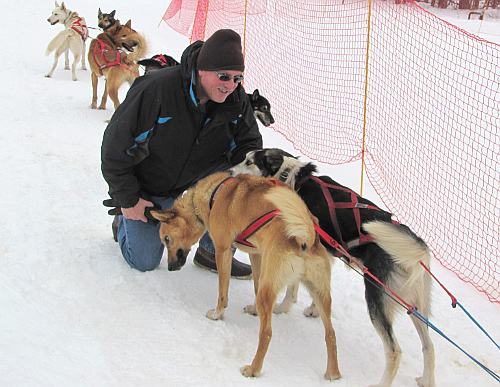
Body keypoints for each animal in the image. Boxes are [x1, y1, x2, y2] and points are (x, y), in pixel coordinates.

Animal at [150, 174, 342, 382]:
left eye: (166, 239)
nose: (170, 268)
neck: (215, 193)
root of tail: (305, 238)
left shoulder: (223, 250)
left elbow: (222, 292)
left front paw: (217, 314)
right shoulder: (257, 256)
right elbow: (255, 284)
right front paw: (253, 310)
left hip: (271, 291)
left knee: (266, 333)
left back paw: (253, 369)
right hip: (319, 293)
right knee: (331, 334)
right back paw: (333, 373)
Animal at [232, 147, 436, 386]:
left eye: (249, 161)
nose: (230, 170)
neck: (291, 179)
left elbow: (293, 286)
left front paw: (283, 307)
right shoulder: (324, 253)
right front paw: (313, 309)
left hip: (376, 299)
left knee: (395, 351)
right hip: (416, 307)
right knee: (429, 346)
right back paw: (427, 379)